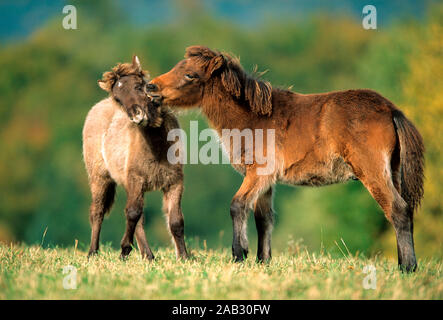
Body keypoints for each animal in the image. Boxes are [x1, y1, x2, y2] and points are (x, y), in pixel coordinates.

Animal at [83, 55, 189, 260]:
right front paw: (124, 250)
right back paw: (93, 252)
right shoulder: (136, 180)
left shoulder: (174, 182)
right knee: (98, 212)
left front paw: (184, 257)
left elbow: (176, 221)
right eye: (118, 98)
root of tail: (97, 107)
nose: (137, 116)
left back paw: (148, 256)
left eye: (140, 86)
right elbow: (132, 213)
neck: (158, 148)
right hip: (99, 177)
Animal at [148, 45, 426, 272]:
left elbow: (238, 205)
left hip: (372, 171)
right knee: (401, 210)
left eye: (190, 75)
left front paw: (239, 255)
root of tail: (392, 110)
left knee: (397, 209)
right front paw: (262, 261)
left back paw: (408, 268)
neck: (253, 118)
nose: (151, 87)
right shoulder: (266, 180)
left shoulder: (258, 172)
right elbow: (263, 218)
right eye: (177, 66)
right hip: (392, 170)